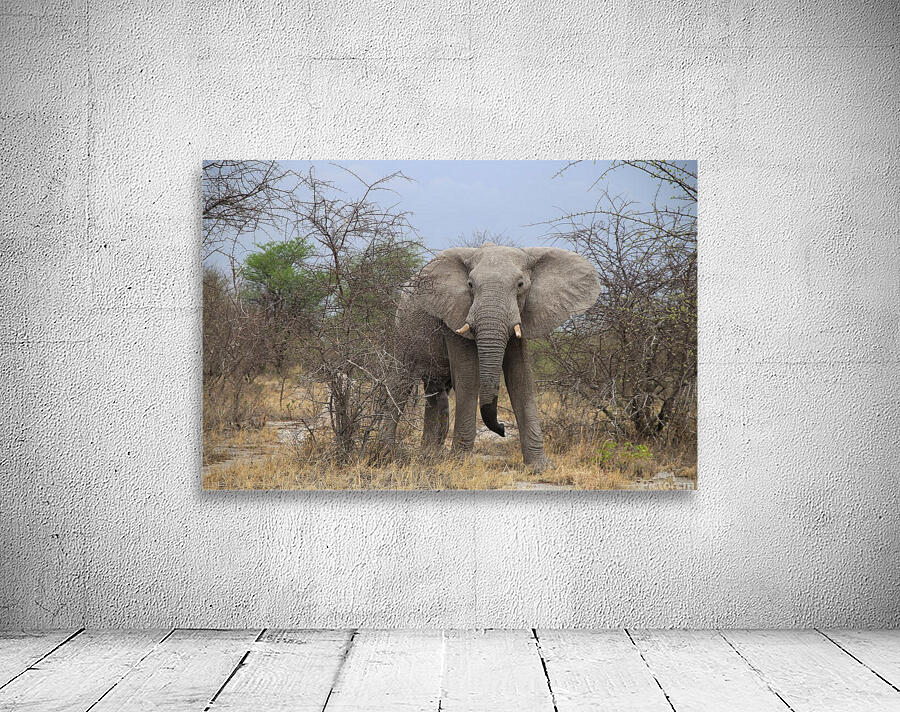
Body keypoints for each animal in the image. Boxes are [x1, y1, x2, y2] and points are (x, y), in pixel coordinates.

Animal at [379, 243, 600, 472]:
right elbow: (469, 376)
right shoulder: (456, 314)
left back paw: (429, 455)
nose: (502, 429)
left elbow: (521, 378)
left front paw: (541, 467)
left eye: (520, 284)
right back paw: (387, 452)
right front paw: (460, 462)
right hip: (404, 328)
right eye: (470, 285)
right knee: (400, 382)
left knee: (435, 391)